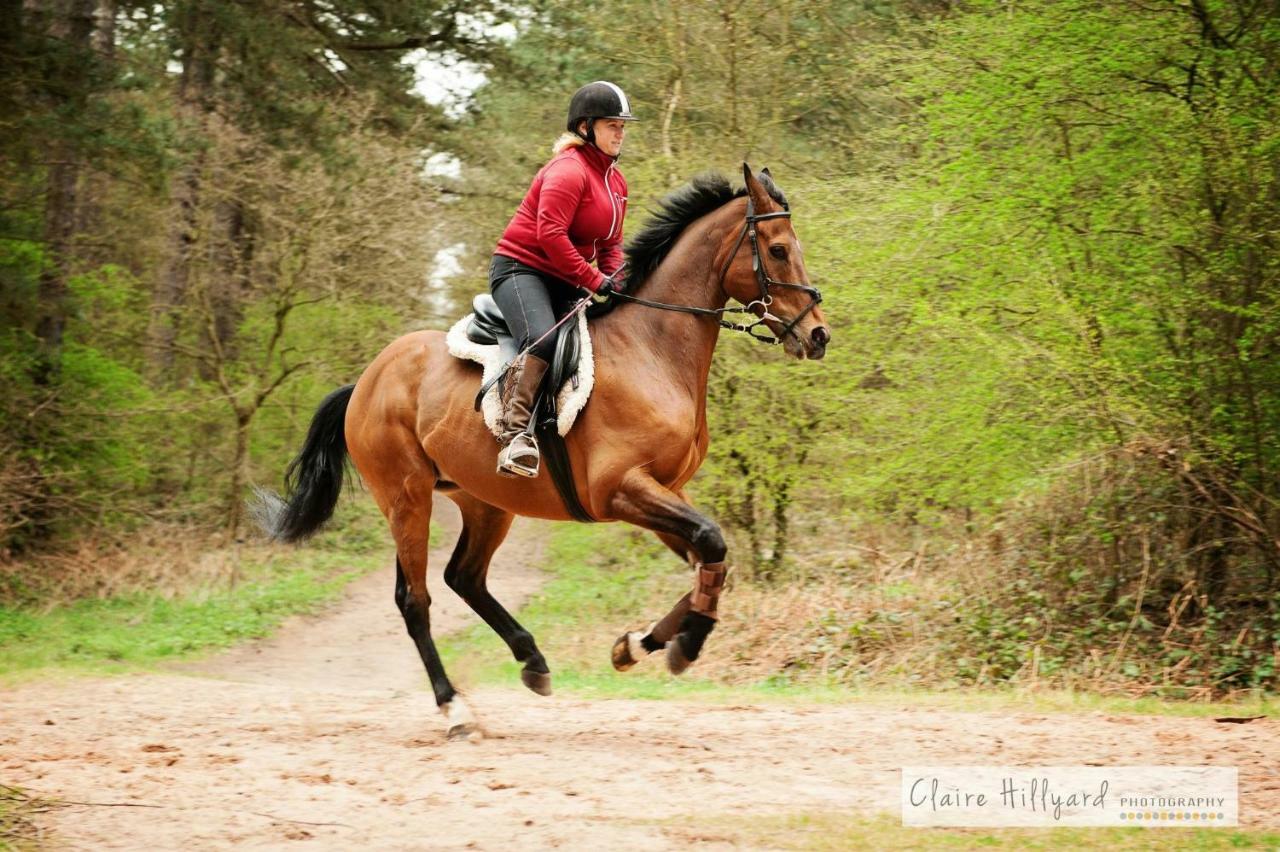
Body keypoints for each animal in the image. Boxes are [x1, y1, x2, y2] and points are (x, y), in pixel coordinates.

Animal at [256, 163, 834, 736]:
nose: (818, 336)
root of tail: (366, 380)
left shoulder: (664, 490)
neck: (653, 349)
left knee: (464, 577)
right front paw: (684, 645)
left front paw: (637, 645)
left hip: (483, 502)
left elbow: (709, 558)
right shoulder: (620, 489)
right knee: (414, 599)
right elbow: (711, 544)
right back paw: (454, 707)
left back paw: (532, 660)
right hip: (406, 497)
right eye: (778, 249)